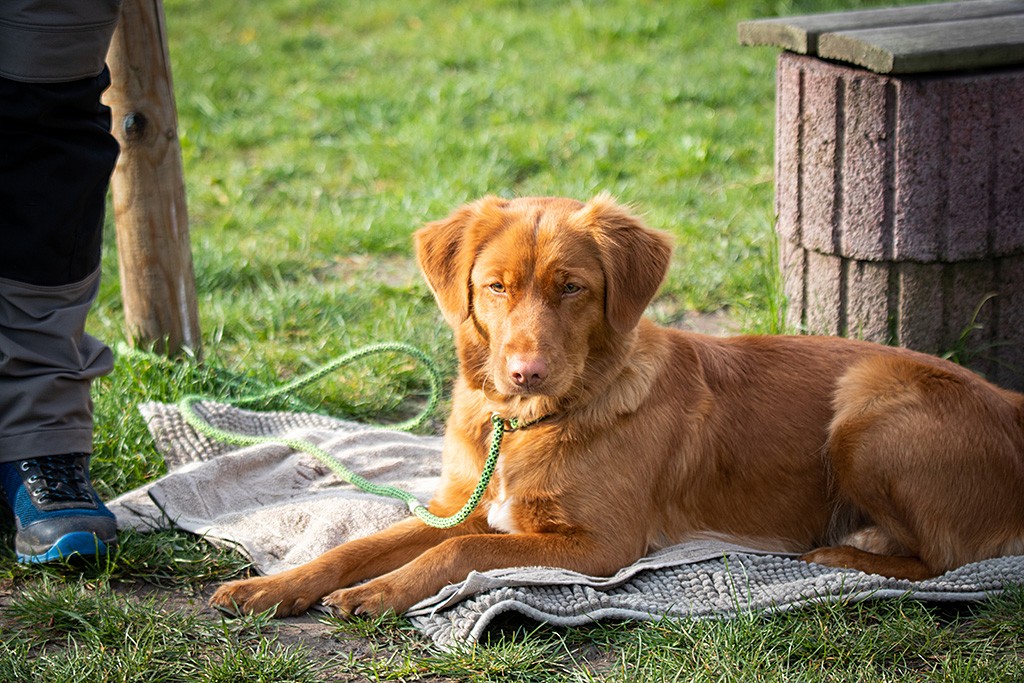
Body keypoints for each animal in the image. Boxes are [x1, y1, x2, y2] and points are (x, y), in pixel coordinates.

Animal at [211, 193, 1024, 618]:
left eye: (572, 287)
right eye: (495, 286)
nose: (525, 371)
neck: (525, 424)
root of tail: (1012, 403)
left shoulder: (601, 547)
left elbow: (460, 551)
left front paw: (377, 592)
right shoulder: (461, 503)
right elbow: (353, 544)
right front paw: (273, 587)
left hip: (866, 410)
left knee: (945, 561)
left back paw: (841, 554)